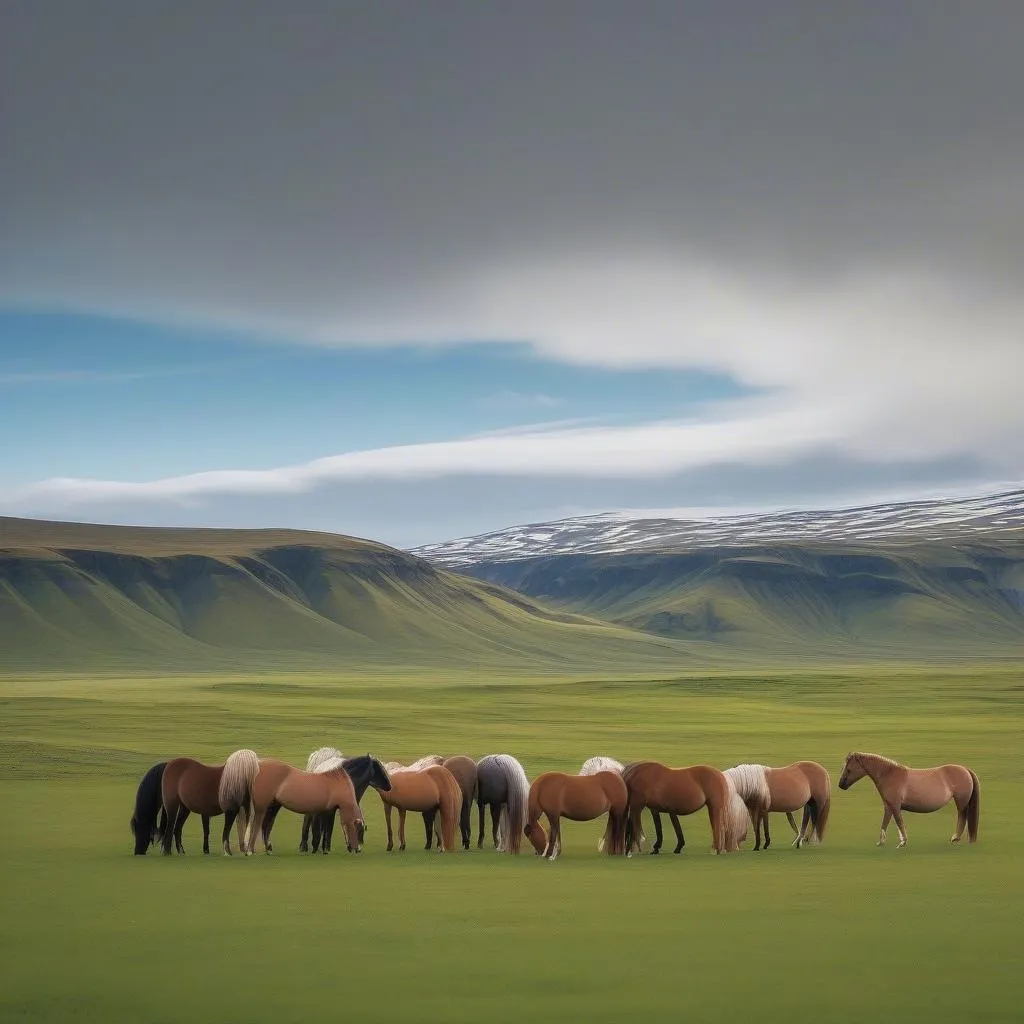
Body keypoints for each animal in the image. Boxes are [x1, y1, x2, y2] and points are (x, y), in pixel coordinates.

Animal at [839, 753, 983, 847]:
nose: (841, 785)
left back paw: (955, 838)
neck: (889, 774)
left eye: (848, 769)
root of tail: (965, 769)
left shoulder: (895, 805)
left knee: (962, 817)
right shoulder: (888, 806)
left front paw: (902, 842)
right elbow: (885, 823)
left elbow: (899, 822)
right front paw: (881, 842)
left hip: (961, 802)